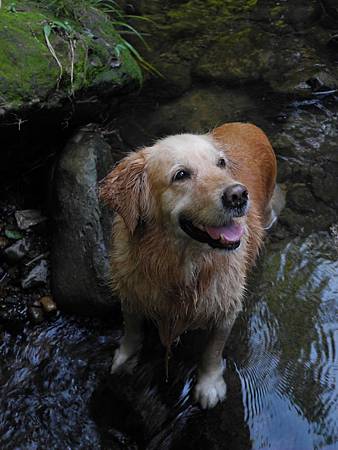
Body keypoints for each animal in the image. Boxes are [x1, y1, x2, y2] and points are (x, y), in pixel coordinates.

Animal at [101, 122, 278, 408]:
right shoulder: (131, 293)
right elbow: (132, 330)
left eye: (221, 163)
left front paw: (209, 384)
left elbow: (213, 350)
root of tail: (247, 124)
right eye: (181, 174)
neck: (183, 266)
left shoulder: (226, 308)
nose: (239, 195)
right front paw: (125, 359)